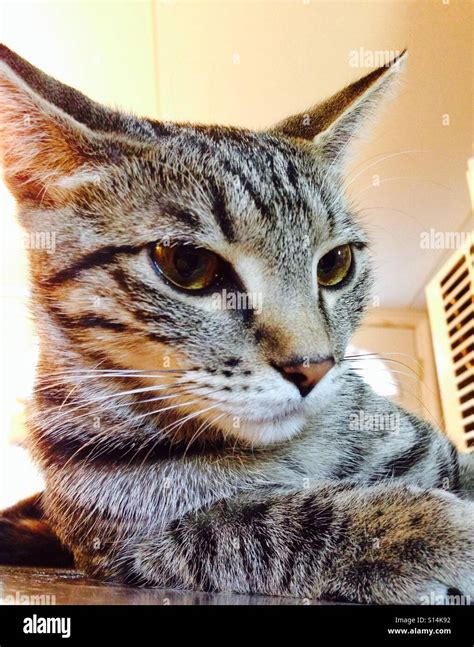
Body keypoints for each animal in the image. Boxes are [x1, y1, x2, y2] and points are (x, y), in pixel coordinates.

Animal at [0, 44, 474, 604]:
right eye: (188, 264)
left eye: (335, 264)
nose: (314, 367)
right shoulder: (137, 546)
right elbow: (261, 523)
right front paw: (421, 527)